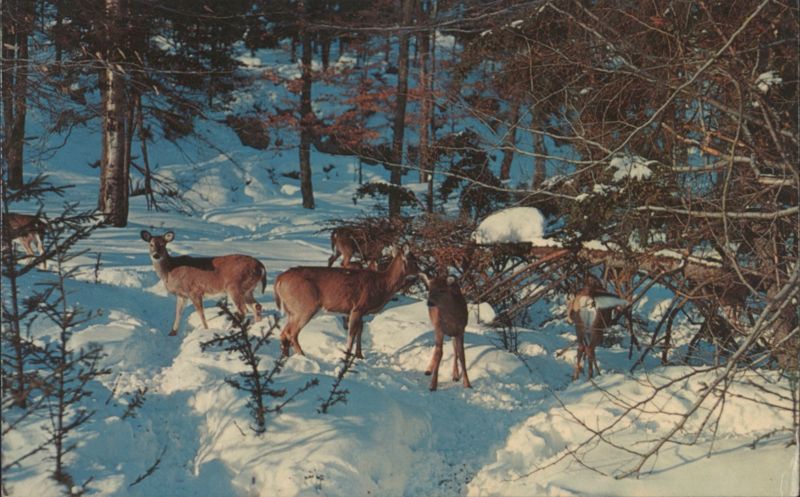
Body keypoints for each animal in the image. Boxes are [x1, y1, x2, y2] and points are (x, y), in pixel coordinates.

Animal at [274, 246, 419, 359]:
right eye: (413, 260)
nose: (420, 271)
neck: (382, 284)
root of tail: (279, 280)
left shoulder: (360, 311)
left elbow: (360, 330)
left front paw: (359, 355)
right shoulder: (357, 308)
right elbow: (351, 333)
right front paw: (347, 356)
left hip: (292, 310)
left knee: (284, 333)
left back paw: (285, 357)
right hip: (305, 306)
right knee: (292, 333)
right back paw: (303, 356)